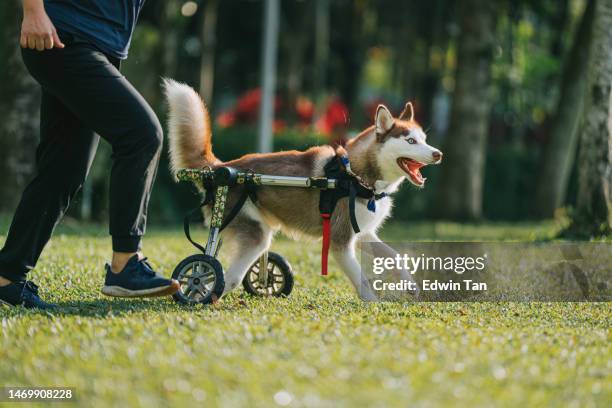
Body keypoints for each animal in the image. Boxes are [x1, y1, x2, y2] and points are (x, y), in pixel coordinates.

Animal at [163, 79, 440, 298]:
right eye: (411, 141)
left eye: (424, 140)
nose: (438, 154)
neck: (356, 177)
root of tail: (222, 169)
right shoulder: (340, 242)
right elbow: (361, 280)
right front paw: (373, 304)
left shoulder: (363, 233)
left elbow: (395, 256)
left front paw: (410, 285)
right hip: (252, 231)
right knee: (223, 275)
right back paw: (198, 289)